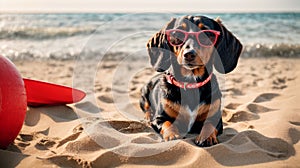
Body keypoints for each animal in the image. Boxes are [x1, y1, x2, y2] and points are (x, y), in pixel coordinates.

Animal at [139, 15, 243, 147]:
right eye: (176, 34)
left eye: (207, 34)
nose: (189, 54)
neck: (191, 83)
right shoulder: (159, 118)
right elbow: (167, 123)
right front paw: (172, 135)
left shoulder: (216, 118)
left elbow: (209, 124)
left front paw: (206, 136)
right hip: (144, 93)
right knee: (146, 108)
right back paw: (148, 116)